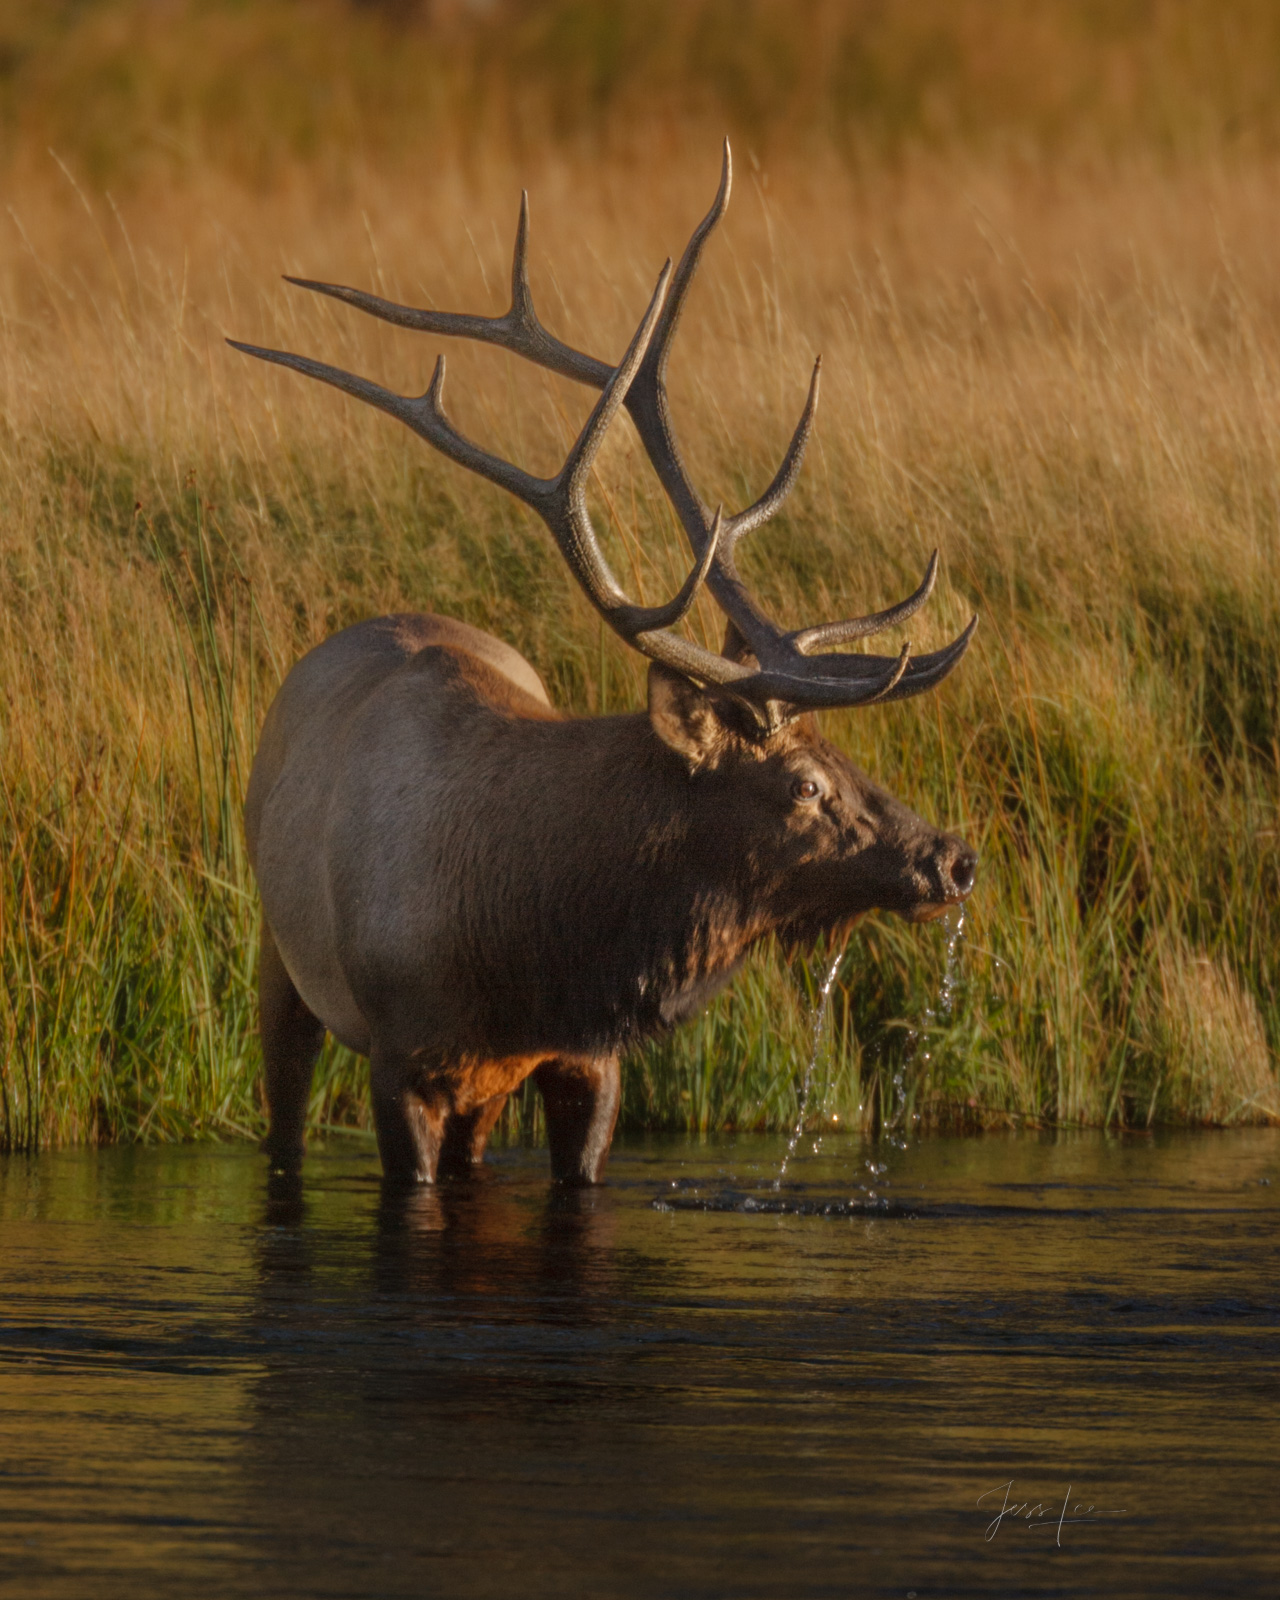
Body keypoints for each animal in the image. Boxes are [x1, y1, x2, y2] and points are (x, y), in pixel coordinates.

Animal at [230, 147, 972, 1190]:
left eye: (842, 756)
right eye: (802, 783)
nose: (953, 858)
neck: (527, 953)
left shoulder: (584, 1059)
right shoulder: (399, 1058)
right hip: (278, 957)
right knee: (284, 1119)